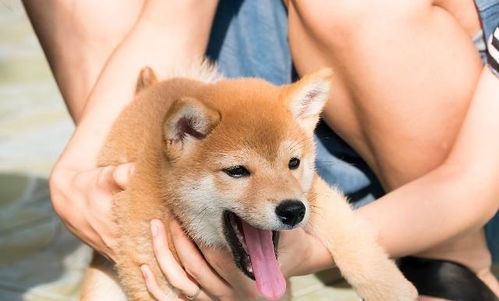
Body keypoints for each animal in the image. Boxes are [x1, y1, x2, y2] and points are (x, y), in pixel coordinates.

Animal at [81, 61, 418, 300]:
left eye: (293, 163)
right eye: (237, 171)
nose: (293, 211)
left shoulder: (315, 196)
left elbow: (352, 240)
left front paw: (392, 289)